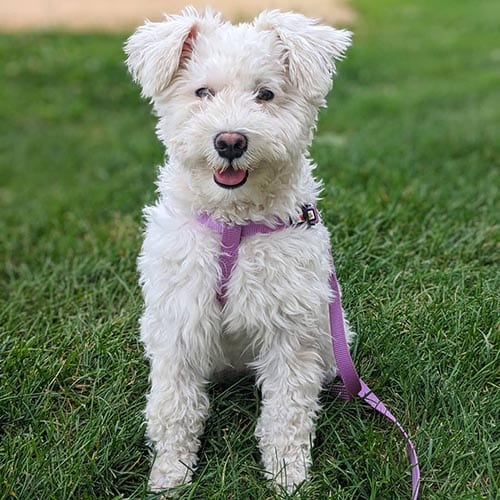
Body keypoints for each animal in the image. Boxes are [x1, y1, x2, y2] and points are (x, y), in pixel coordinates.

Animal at [125, 6, 352, 492]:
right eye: (202, 92)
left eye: (265, 94)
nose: (230, 141)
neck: (234, 224)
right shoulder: (179, 324)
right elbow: (174, 408)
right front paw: (170, 476)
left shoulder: (290, 331)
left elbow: (287, 412)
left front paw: (287, 477)